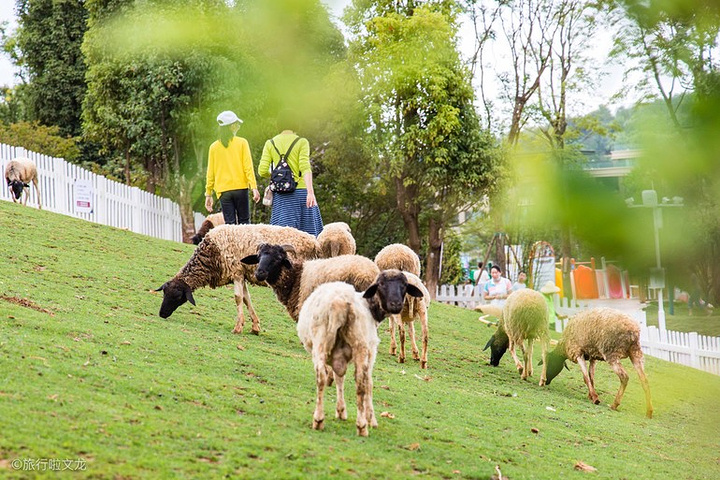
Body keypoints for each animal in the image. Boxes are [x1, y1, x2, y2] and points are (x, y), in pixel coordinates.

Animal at [157, 224, 320, 334]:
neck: (211, 254)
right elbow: (247, 298)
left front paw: (238, 327)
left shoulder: (236, 272)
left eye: (177, 296)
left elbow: (238, 298)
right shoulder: (242, 275)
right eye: (164, 293)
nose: (162, 314)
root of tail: (315, 242)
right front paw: (255, 327)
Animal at [296, 274, 424, 436]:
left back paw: (318, 420)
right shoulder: (371, 351)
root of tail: (338, 304)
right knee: (361, 382)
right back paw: (362, 426)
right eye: (381, 284)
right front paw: (371, 420)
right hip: (360, 345)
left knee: (321, 377)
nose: (395, 304)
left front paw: (341, 411)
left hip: (320, 342)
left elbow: (339, 379)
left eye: (404, 285)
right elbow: (369, 383)